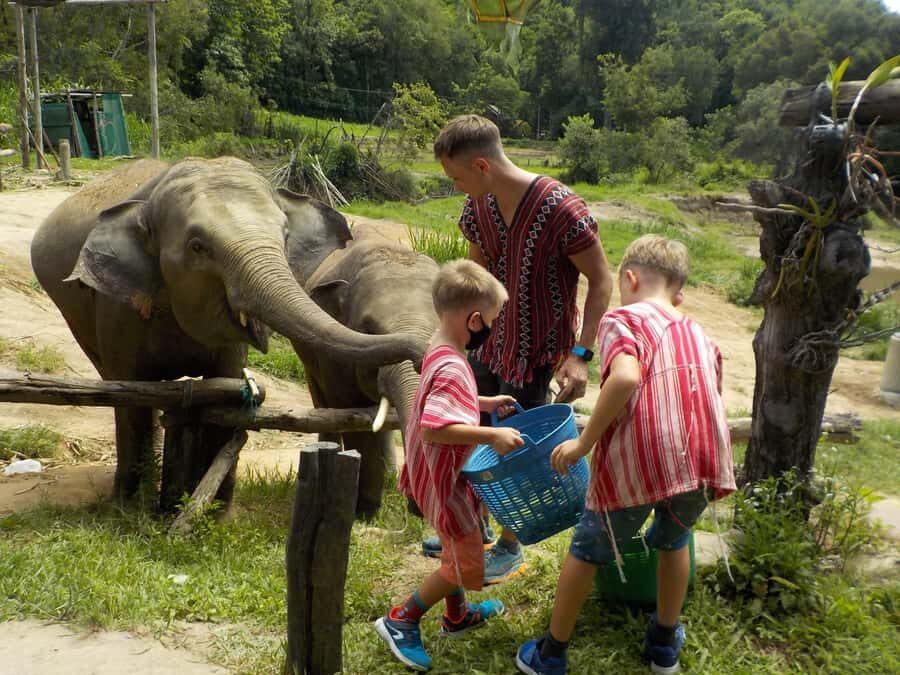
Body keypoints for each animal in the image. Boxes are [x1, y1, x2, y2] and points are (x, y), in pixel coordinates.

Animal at [30, 157, 423, 509]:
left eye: (284, 236)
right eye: (197, 247)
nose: (421, 354)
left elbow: (227, 387)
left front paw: (216, 511)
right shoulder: (116, 307)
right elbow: (131, 396)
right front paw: (128, 510)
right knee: (117, 385)